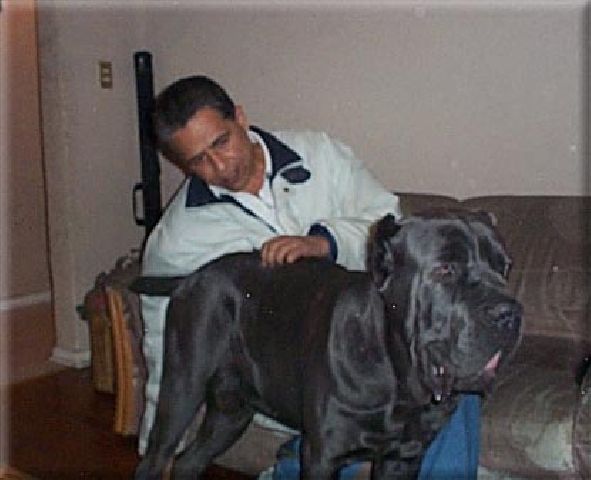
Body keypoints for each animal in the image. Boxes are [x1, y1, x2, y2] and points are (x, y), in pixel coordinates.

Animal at [133, 211, 522, 479]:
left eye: (505, 267)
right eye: (445, 269)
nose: (510, 313)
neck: (398, 381)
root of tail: (194, 275)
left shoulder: (403, 458)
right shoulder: (322, 456)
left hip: (231, 413)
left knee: (187, 462)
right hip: (182, 391)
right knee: (156, 458)